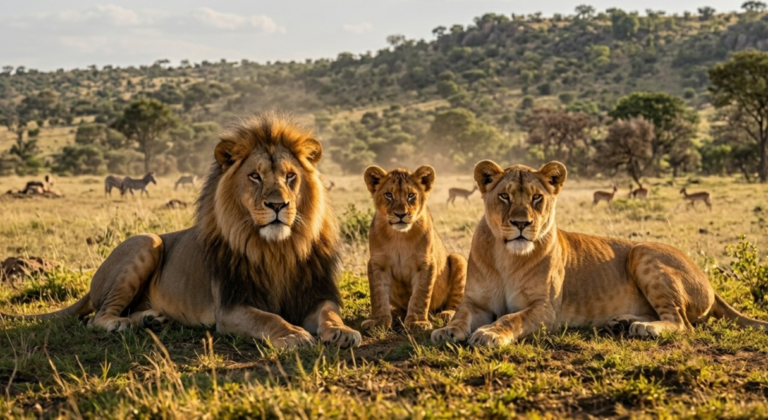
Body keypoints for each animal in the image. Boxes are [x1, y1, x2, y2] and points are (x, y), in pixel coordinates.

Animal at [1, 113, 361, 350]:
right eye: (255, 176)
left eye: (290, 176)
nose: (278, 205)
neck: (277, 249)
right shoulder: (231, 308)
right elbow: (268, 319)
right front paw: (292, 334)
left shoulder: (316, 293)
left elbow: (330, 314)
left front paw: (343, 331)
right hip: (147, 242)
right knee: (97, 318)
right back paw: (124, 323)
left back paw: (152, 320)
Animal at [361, 166, 467, 331]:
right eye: (388, 195)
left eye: (411, 195)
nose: (400, 214)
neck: (399, 237)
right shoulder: (378, 264)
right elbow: (378, 295)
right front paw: (378, 321)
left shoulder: (425, 263)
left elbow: (420, 295)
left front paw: (417, 322)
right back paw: (396, 314)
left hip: (459, 259)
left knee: (455, 303)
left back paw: (447, 314)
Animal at [432, 160, 768, 347]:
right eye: (504, 196)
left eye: (537, 198)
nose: (521, 224)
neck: (507, 257)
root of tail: (707, 279)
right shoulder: (476, 302)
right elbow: (461, 315)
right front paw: (446, 331)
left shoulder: (545, 309)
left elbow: (511, 318)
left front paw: (489, 333)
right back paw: (620, 323)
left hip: (642, 252)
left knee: (681, 322)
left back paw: (644, 329)